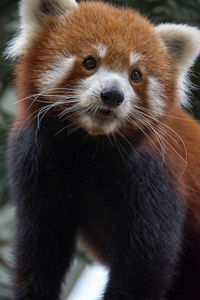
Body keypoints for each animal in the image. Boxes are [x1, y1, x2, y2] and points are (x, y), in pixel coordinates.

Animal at [5, 0, 200, 300]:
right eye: (90, 62)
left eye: (135, 75)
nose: (112, 95)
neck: (89, 148)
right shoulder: (35, 166)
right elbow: (40, 251)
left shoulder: (156, 179)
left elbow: (147, 265)